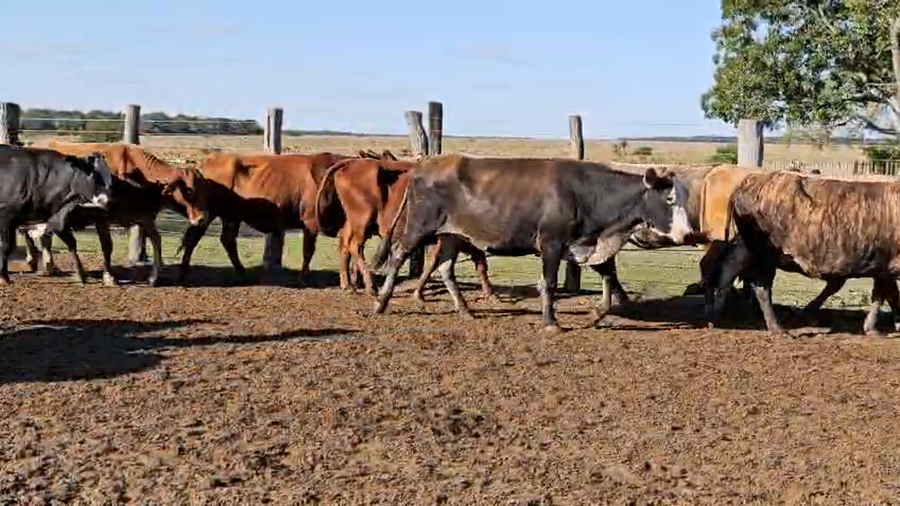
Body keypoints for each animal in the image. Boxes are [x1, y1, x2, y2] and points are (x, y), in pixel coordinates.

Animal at [0, 146, 114, 284]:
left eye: (109, 178)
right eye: (94, 175)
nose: (108, 201)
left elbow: (71, 243)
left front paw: (81, 274)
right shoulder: (6, 218)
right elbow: (5, 247)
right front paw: (4, 277)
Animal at [23, 142, 209, 286]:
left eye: (202, 188)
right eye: (189, 190)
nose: (201, 218)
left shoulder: (145, 218)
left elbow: (156, 241)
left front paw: (154, 277)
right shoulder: (101, 219)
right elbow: (107, 246)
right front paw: (109, 277)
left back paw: (45, 264)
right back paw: (38, 262)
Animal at [314, 157, 497, 302]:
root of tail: (352, 162)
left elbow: (479, 262)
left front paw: (490, 293)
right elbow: (434, 263)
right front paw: (418, 293)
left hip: (353, 222)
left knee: (345, 244)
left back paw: (349, 285)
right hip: (363, 220)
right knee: (355, 247)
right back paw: (370, 288)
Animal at [368, 154, 694, 332]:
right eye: (669, 198)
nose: (686, 233)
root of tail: (422, 166)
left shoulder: (586, 246)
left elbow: (609, 280)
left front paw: (596, 313)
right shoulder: (551, 244)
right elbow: (548, 283)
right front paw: (551, 322)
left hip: (452, 235)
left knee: (446, 269)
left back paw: (465, 310)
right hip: (419, 227)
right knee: (397, 256)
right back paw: (381, 302)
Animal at [702, 170, 900, 337]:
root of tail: (749, 182)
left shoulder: (883, 268)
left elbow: (886, 295)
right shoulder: (886, 266)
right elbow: (883, 295)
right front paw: (875, 328)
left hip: (745, 247)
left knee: (728, 270)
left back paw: (716, 315)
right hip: (764, 255)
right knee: (761, 287)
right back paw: (778, 329)